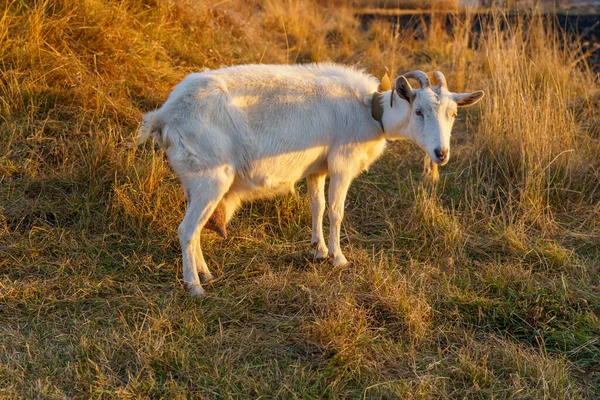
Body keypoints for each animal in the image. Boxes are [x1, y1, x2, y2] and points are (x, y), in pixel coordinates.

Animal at [138, 62, 486, 294]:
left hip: (195, 182)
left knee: (196, 229)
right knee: (186, 230)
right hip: (210, 178)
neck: (370, 111)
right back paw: (195, 286)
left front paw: (318, 250)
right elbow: (336, 211)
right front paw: (339, 258)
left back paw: (206, 273)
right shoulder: (342, 163)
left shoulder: (317, 168)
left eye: (453, 114)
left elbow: (316, 207)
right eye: (418, 111)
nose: (441, 153)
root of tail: (164, 116)